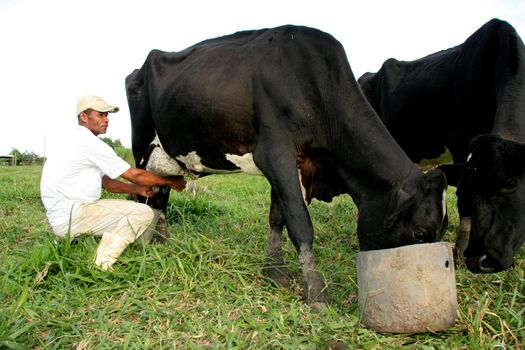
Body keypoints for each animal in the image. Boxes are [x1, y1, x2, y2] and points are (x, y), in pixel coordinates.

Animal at [126, 24, 446, 306]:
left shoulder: (300, 163)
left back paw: (163, 241)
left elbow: (277, 217)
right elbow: (300, 222)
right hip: (142, 146)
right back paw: (143, 244)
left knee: (160, 193)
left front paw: (275, 271)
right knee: (141, 196)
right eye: (419, 232)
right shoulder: (274, 153)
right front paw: (316, 293)